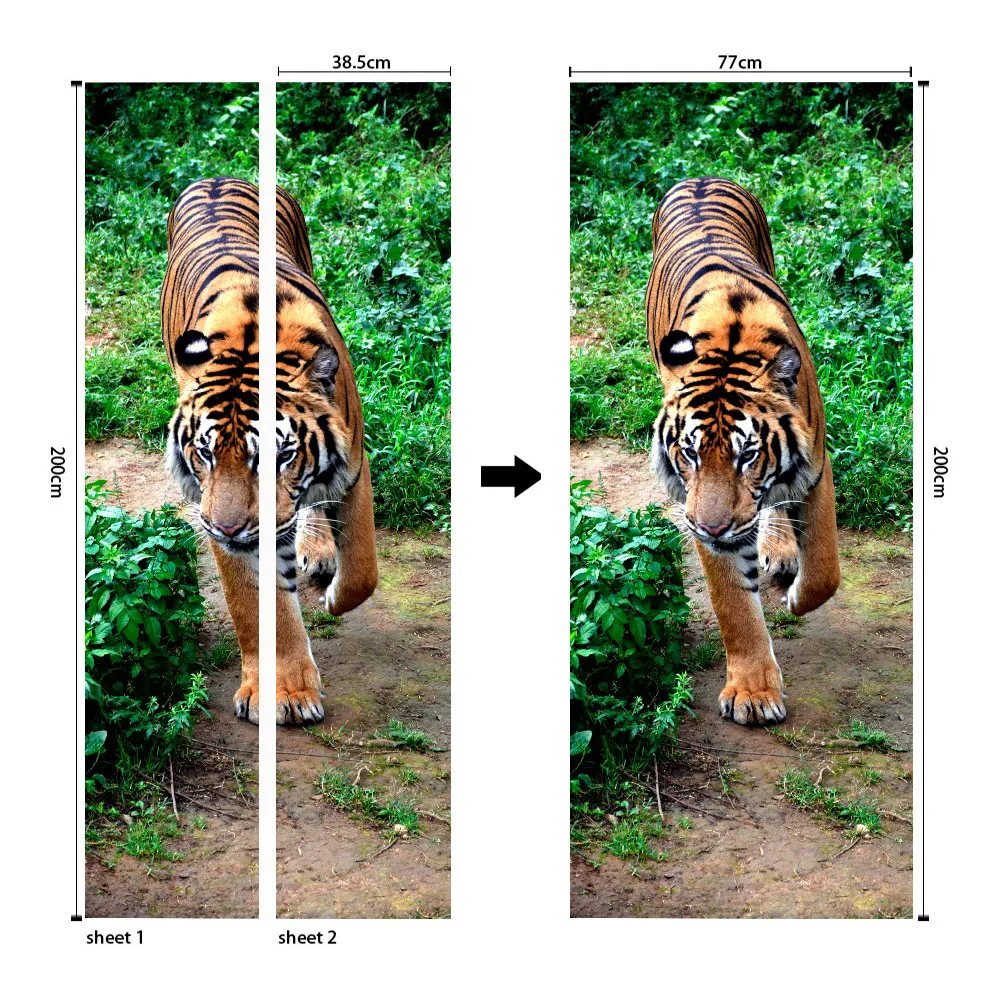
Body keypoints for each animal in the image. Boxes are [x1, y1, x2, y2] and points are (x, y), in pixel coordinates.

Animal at [162, 177, 377, 726]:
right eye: (204, 453)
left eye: (277, 457)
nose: (227, 528)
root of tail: (217, 177)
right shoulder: (214, 512)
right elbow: (257, 607)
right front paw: (287, 693)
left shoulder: (354, 468)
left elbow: (363, 570)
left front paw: (333, 598)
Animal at [646, 177, 840, 726]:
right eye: (689, 454)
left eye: (747, 455)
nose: (711, 528)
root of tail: (699, 177)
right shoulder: (701, 512)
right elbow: (733, 602)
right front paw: (753, 693)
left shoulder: (816, 470)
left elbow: (825, 571)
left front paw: (795, 598)